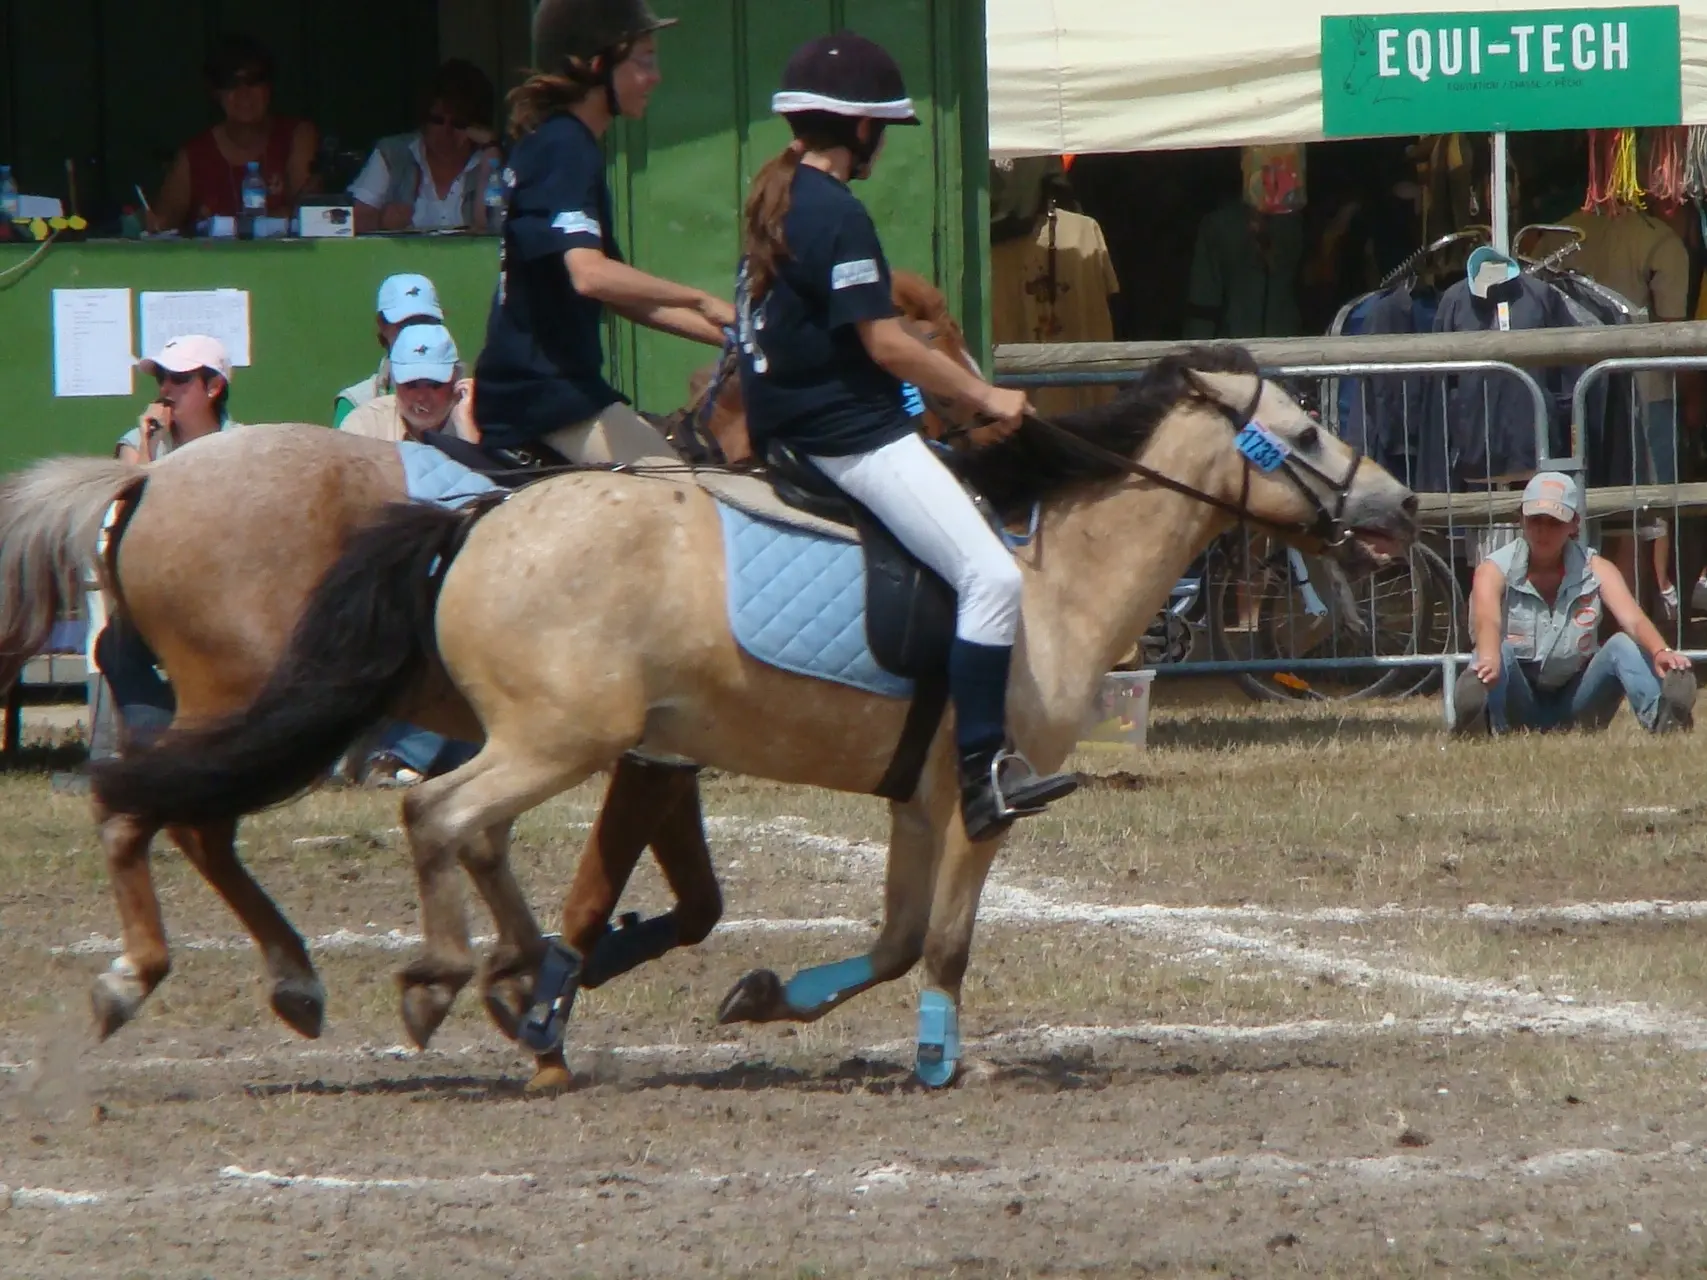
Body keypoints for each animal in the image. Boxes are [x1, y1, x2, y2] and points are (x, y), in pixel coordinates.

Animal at [96, 346, 1427, 1085]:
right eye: (1306, 432)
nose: (1403, 505)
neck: (1047, 577)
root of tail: (474, 521)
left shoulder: (913, 797)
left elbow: (888, 938)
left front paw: (761, 996)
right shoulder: (976, 802)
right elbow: (944, 943)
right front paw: (940, 1056)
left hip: (526, 733)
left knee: (309, 817)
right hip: (547, 734)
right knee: (426, 815)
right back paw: (426, 976)